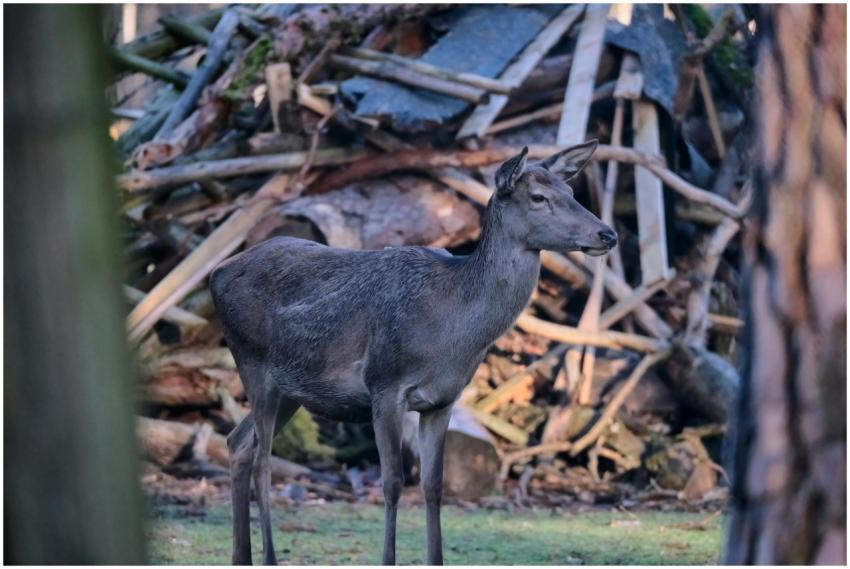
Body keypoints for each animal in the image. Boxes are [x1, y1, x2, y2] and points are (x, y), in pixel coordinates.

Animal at [210, 140, 617, 565]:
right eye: (538, 197)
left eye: (571, 191)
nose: (607, 234)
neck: (451, 330)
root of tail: (216, 274)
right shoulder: (384, 384)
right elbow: (392, 482)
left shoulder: (443, 400)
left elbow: (434, 485)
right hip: (254, 364)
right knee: (263, 460)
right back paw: (268, 557)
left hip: (291, 390)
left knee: (238, 443)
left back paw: (241, 555)